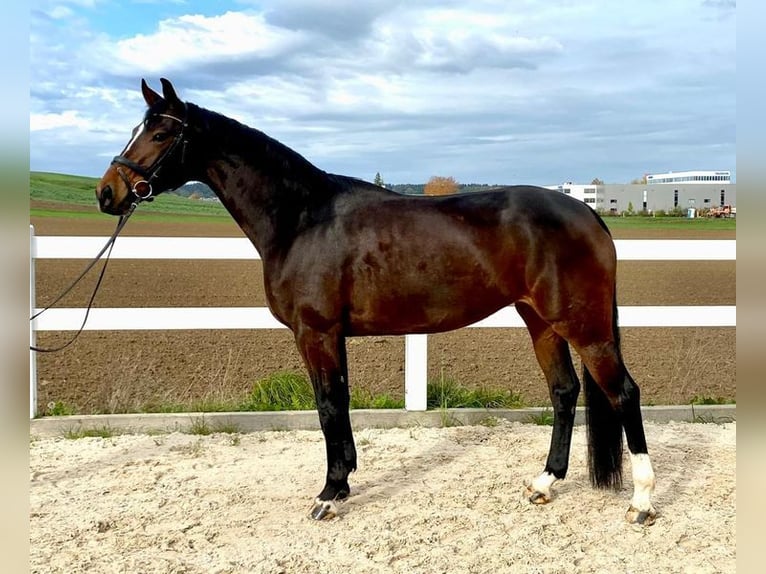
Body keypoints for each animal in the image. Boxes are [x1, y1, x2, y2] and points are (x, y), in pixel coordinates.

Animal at [96, 78, 656, 525]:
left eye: (161, 134)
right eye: (137, 129)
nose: (107, 192)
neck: (302, 218)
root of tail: (588, 212)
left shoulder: (317, 333)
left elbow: (328, 405)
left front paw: (329, 494)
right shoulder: (327, 336)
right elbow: (337, 403)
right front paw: (342, 483)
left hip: (583, 326)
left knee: (624, 393)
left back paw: (642, 502)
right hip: (540, 321)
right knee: (564, 392)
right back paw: (544, 483)